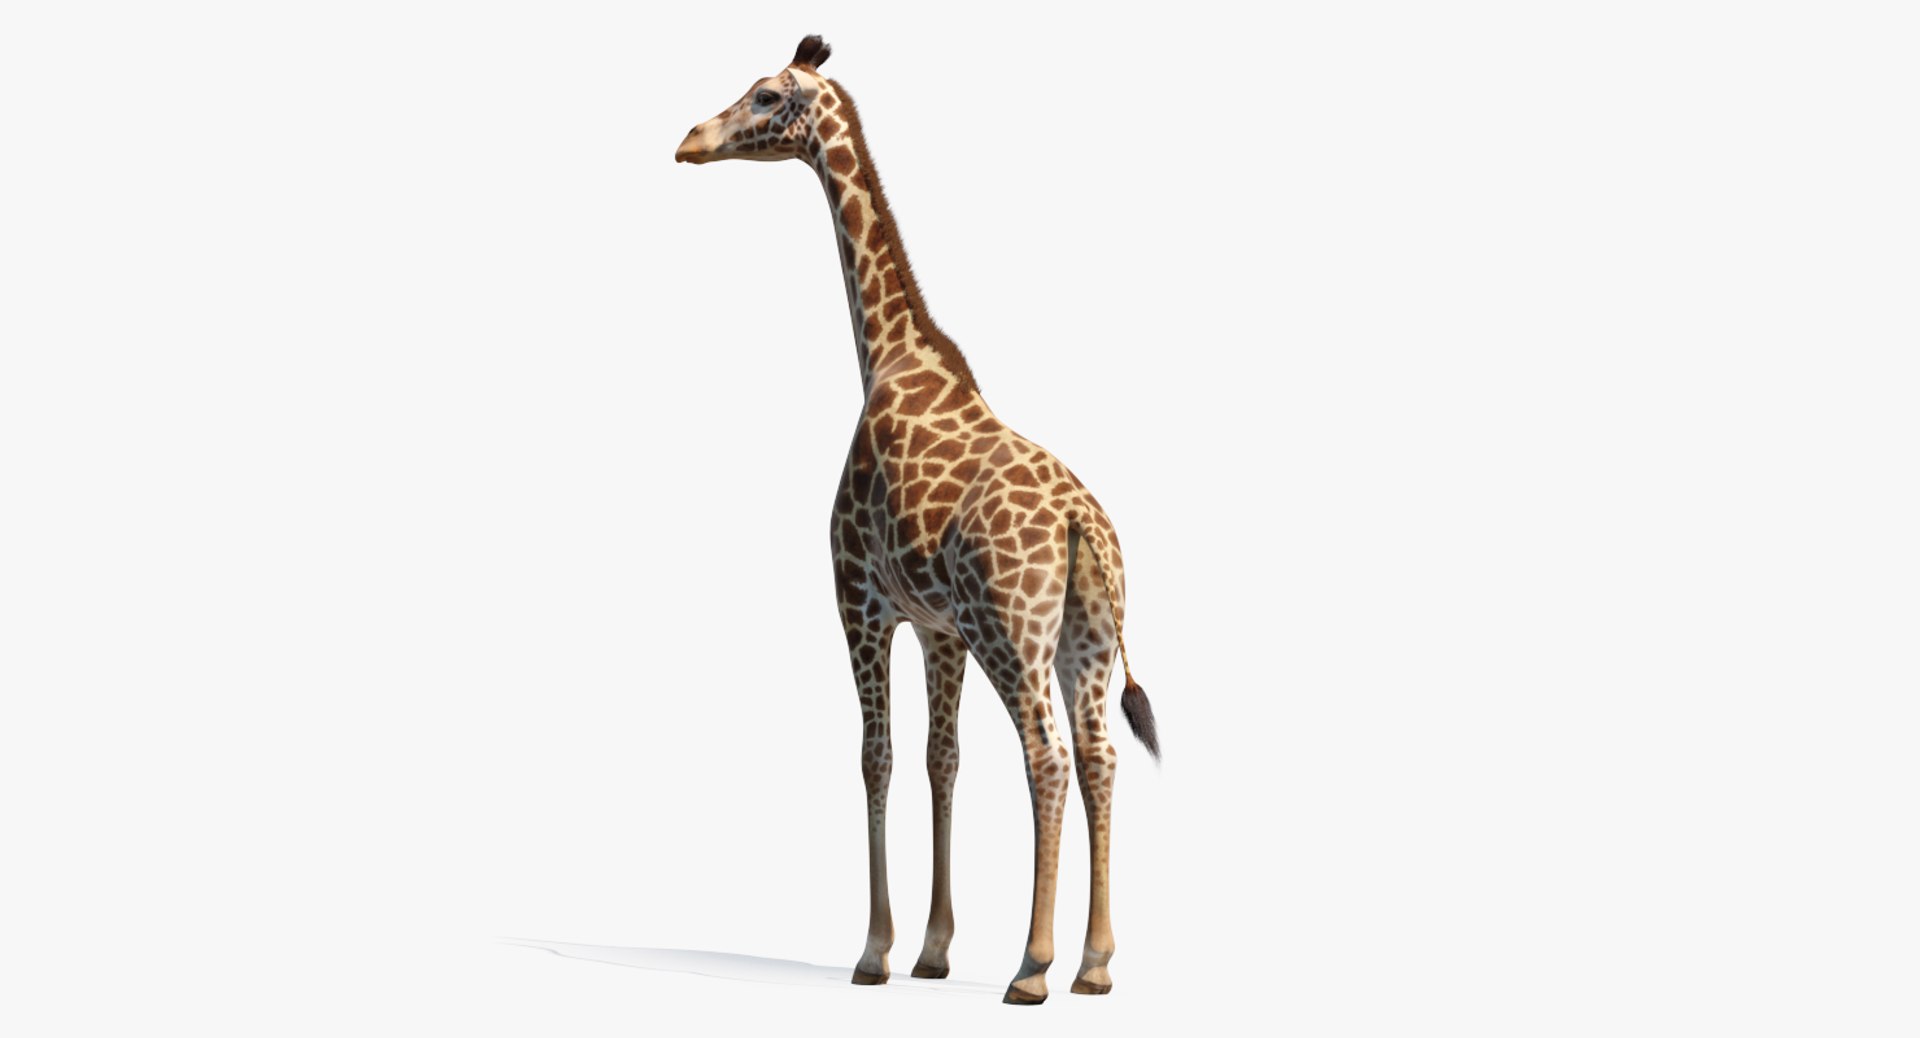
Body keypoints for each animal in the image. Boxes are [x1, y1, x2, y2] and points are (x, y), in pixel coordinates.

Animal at [675, 35, 1160, 1006]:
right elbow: (942, 758)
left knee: (1047, 755)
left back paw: (1033, 967)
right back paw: (1094, 964)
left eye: (766, 94)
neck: (886, 358)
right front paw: (933, 951)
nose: (690, 140)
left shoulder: (859, 600)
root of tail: (1083, 527)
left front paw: (874, 954)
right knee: (1098, 754)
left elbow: (877, 754)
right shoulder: (939, 627)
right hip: (1086, 635)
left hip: (1015, 630)